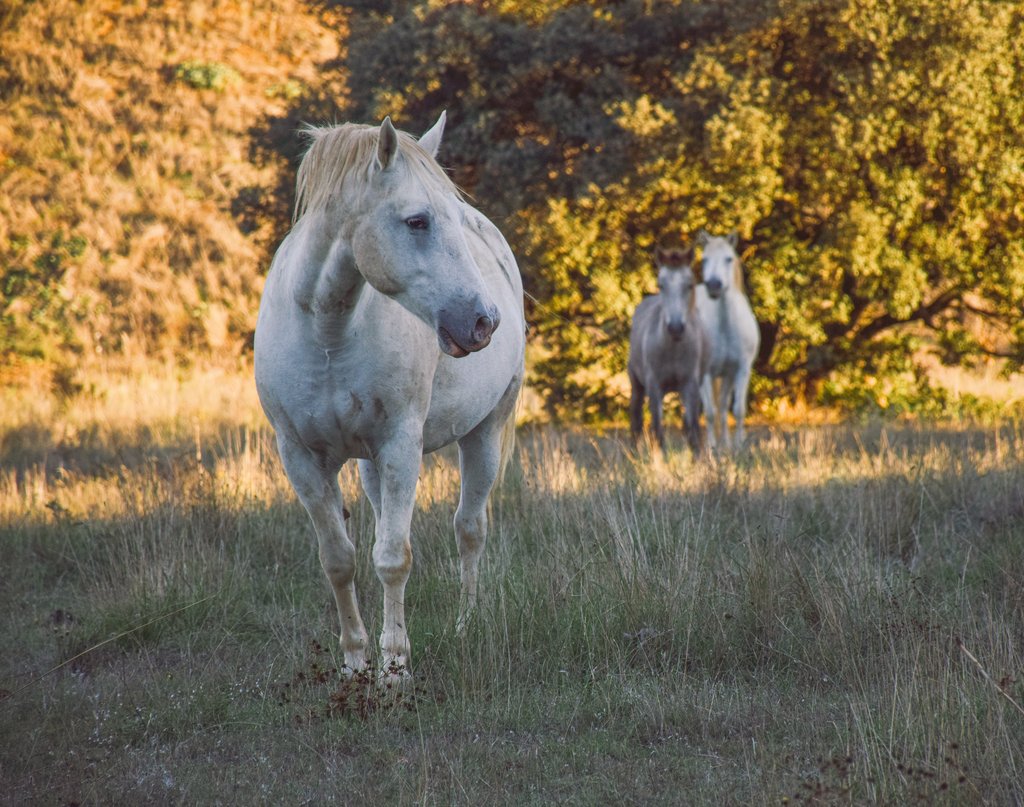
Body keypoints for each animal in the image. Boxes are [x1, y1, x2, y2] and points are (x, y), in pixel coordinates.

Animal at [254, 112, 525, 678]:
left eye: (452, 218)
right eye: (417, 221)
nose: (483, 321)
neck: (329, 333)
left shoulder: (401, 445)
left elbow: (393, 558)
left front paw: (396, 667)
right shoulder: (301, 457)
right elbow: (339, 560)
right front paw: (356, 662)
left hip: (484, 433)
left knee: (470, 528)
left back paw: (466, 626)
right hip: (368, 464)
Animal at [628, 245, 708, 454]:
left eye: (689, 285)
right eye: (661, 284)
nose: (675, 327)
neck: (673, 350)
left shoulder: (690, 385)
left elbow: (692, 429)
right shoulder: (654, 386)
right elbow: (657, 430)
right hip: (636, 385)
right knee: (636, 419)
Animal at [695, 230, 759, 451]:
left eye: (728, 259)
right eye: (704, 259)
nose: (714, 285)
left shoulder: (740, 370)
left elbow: (737, 410)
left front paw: (738, 446)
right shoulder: (706, 373)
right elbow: (710, 412)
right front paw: (712, 448)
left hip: (727, 376)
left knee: (723, 406)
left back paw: (727, 444)